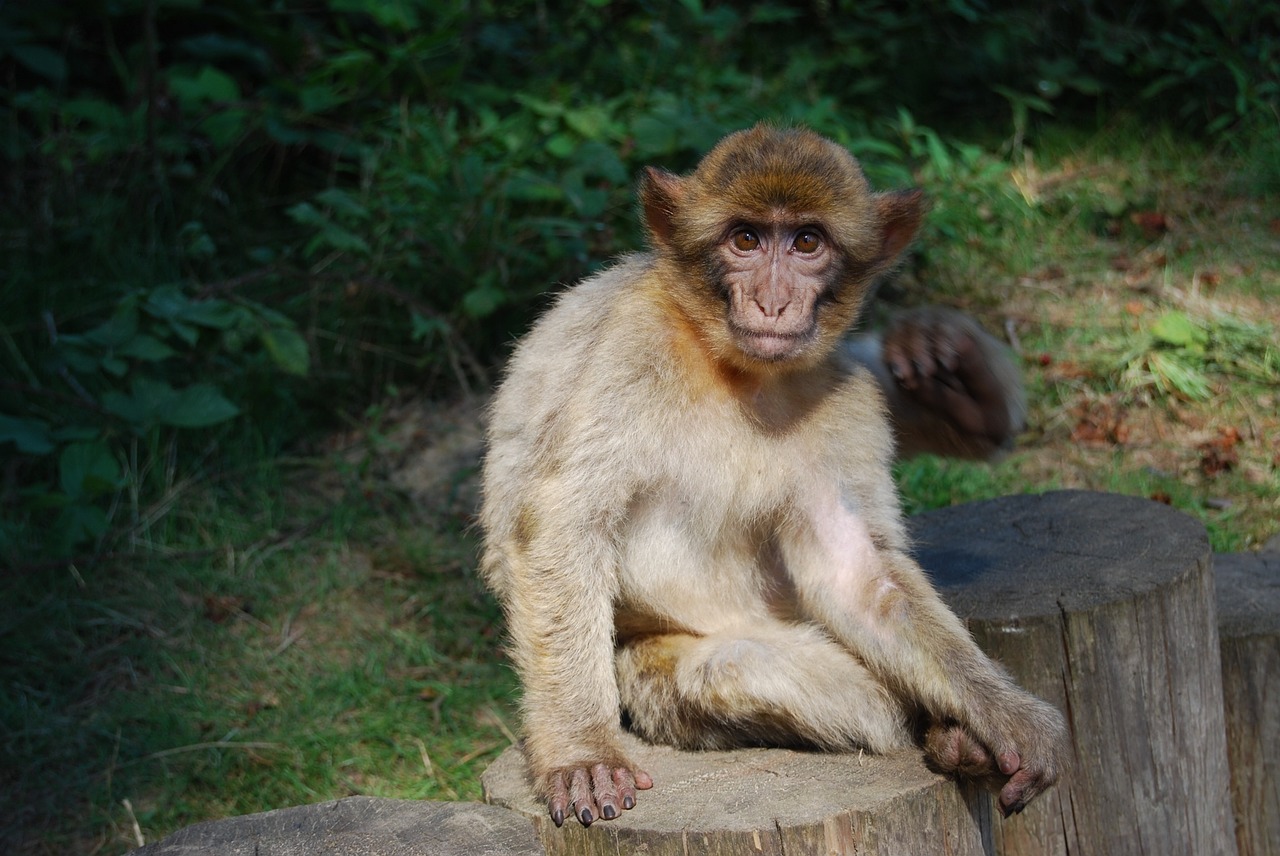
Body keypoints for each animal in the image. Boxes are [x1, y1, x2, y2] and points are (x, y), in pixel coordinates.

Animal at [476, 123, 1064, 824]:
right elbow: (561, 525)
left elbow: (854, 578)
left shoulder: (839, 394)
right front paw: (580, 752)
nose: (773, 300)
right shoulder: (629, 350)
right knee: (730, 668)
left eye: (807, 242)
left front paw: (1001, 714)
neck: (733, 369)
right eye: (746, 240)